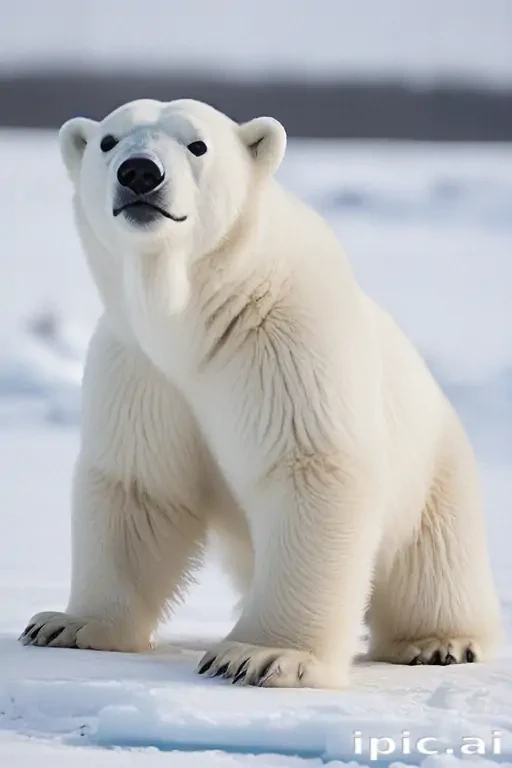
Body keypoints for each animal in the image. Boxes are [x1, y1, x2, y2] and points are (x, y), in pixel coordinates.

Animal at [20, 98, 502, 689]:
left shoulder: (284, 346)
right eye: (109, 141)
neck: (200, 315)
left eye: (197, 144)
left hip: (434, 476)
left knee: (434, 566)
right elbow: (138, 484)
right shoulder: (140, 368)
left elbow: (308, 468)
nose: (139, 173)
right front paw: (67, 624)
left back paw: (441, 641)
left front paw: (260, 655)